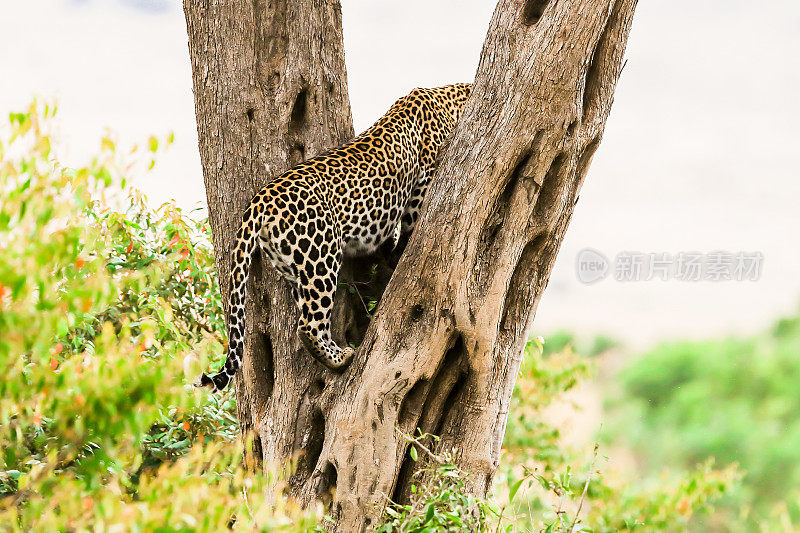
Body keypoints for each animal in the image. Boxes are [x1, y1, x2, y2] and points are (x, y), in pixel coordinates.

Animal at [199, 83, 472, 390]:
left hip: (292, 265)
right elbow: (404, 236)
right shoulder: (419, 193)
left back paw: (339, 350)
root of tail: (261, 199)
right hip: (320, 256)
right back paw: (340, 359)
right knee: (308, 326)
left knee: (307, 313)